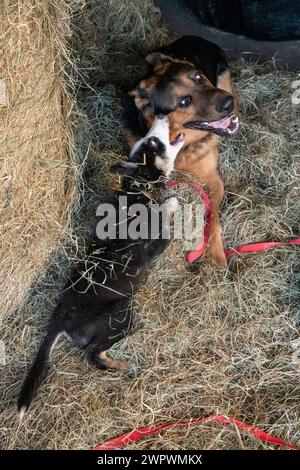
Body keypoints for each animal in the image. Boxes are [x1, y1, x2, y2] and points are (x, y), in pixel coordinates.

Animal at [18, 115, 185, 416]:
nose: (161, 115)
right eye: (153, 143)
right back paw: (123, 365)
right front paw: (171, 202)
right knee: (92, 355)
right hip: (122, 316)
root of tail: (58, 319)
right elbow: (166, 213)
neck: (138, 188)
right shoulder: (157, 244)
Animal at [122, 35, 239, 266]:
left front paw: (217, 254)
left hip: (224, 78)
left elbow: (214, 218)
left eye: (198, 77)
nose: (228, 104)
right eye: (184, 101)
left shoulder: (214, 180)